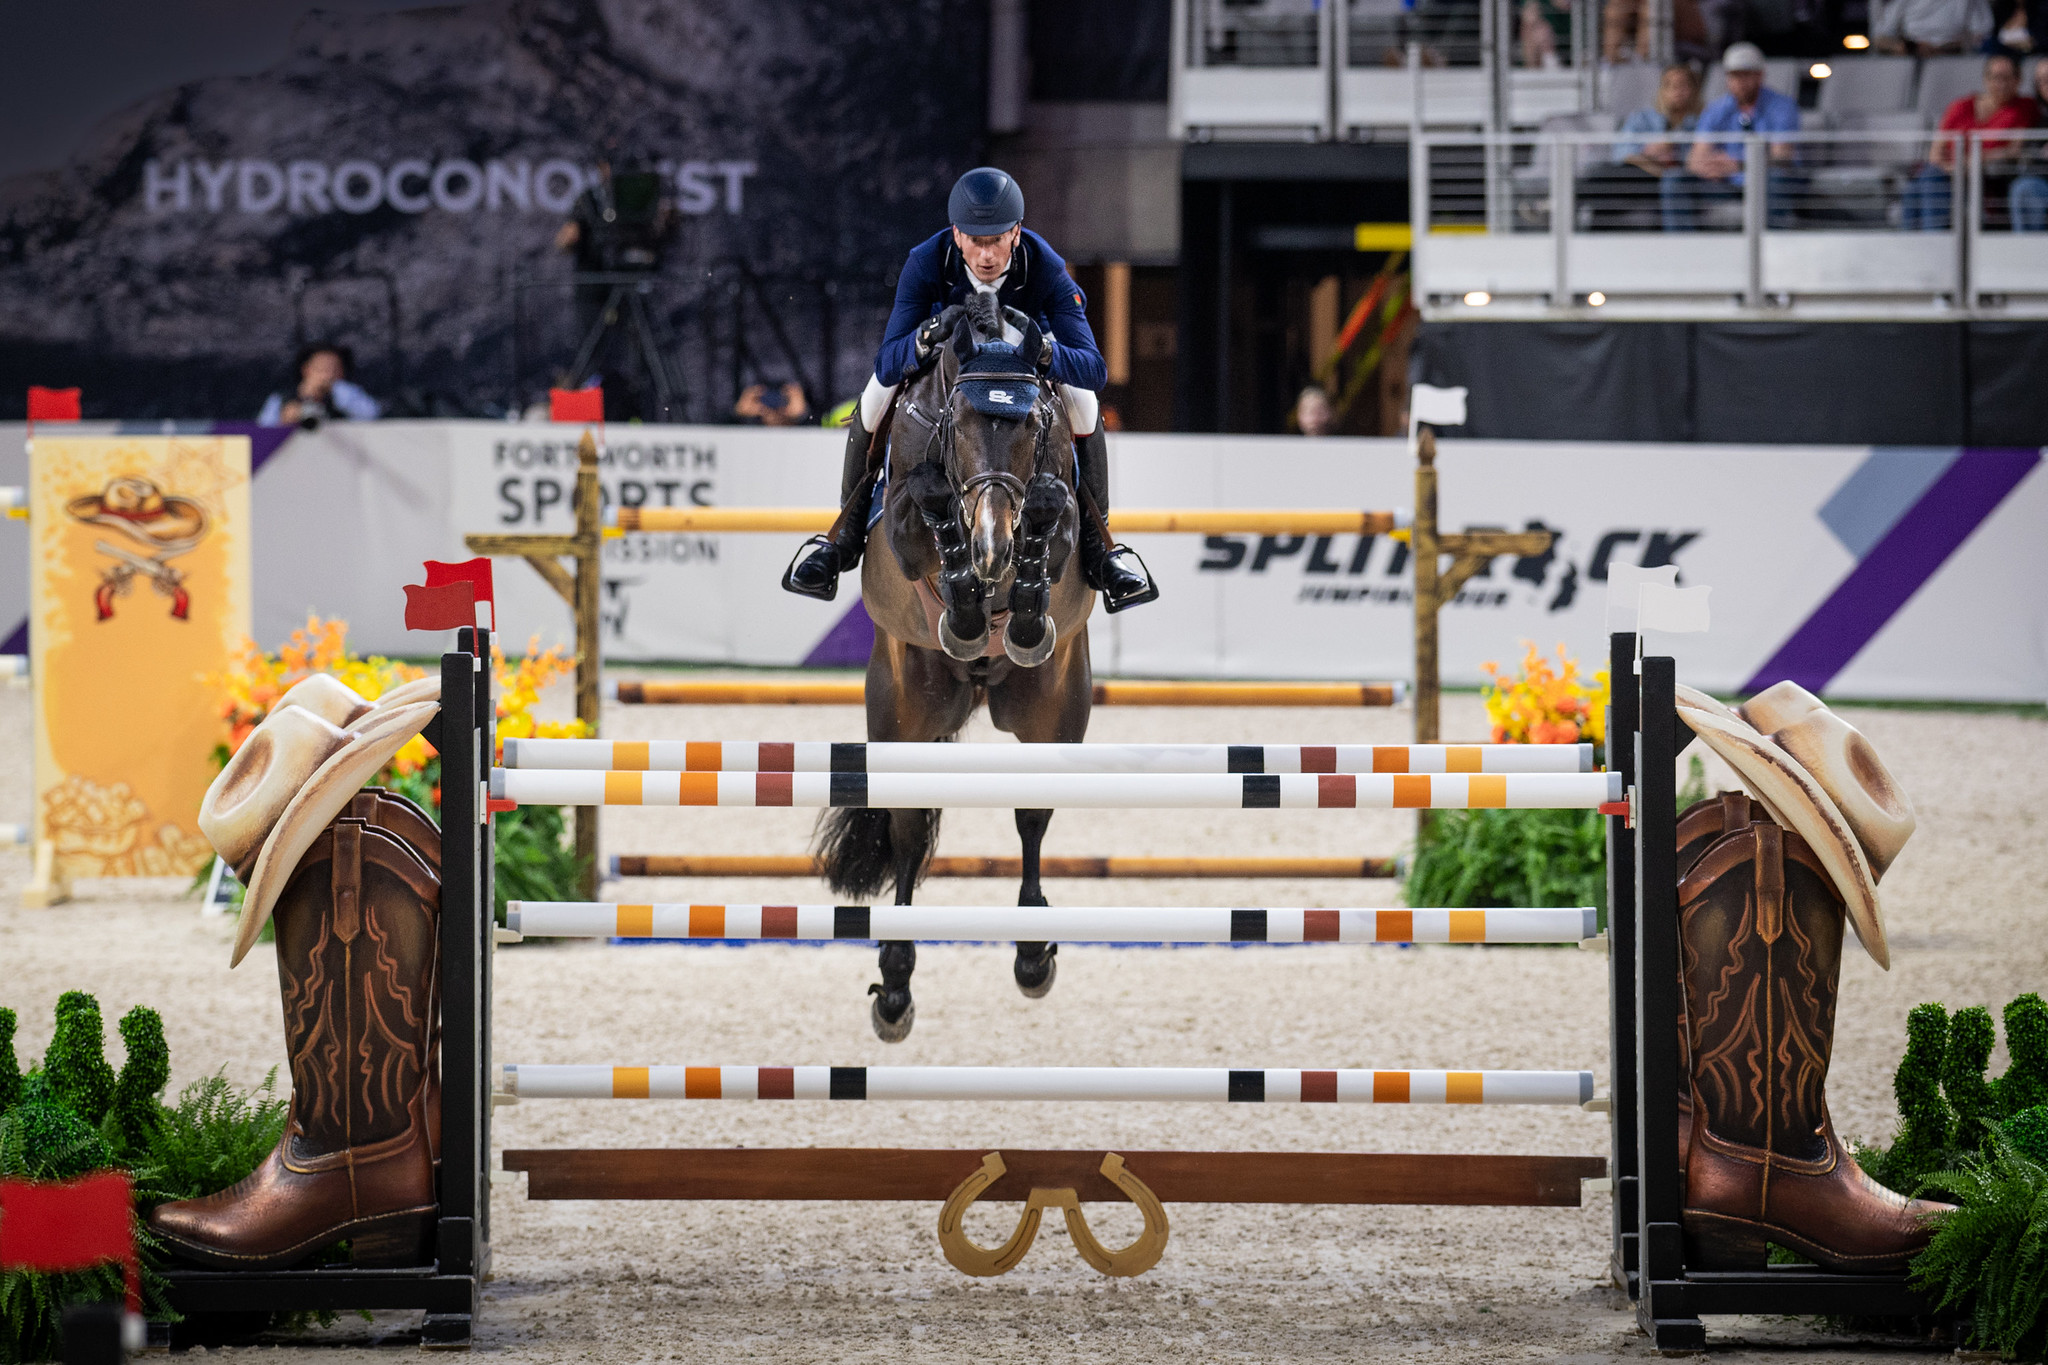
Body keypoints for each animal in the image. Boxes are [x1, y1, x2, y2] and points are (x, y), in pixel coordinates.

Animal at [814, 295, 1095, 1041]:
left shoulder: (1058, 515)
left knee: (1032, 816)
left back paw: (1032, 953)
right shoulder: (902, 529)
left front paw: (1018, 592)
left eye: (1030, 425)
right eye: (961, 424)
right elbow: (927, 514)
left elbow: (1052, 522)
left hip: (1052, 711)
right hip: (903, 710)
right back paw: (894, 987)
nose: (993, 542)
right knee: (910, 833)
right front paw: (968, 598)